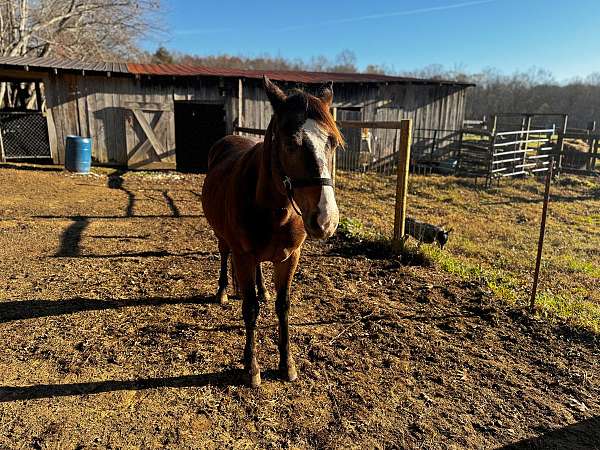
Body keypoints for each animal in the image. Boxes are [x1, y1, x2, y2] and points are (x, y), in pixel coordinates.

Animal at [202, 77, 342, 386]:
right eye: (290, 143)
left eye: (333, 143)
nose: (326, 220)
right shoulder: (243, 256)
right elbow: (250, 309)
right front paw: (251, 367)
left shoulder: (290, 257)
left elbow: (283, 306)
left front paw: (286, 363)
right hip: (224, 240)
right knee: (223, 256)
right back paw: (223, 292)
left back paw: (262, 289)